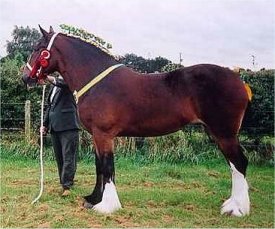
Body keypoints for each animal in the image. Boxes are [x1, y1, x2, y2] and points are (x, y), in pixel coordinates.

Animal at [23, 26, 252, 216]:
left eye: (38, 48)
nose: (25, 76)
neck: (97, 81)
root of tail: (239, 81)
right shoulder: (97, 136)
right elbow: (99, 167)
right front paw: (93, 199)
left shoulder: (104, 135)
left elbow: (107, 167)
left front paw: (107, 206)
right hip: (216, 133)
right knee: (234, 165)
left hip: (224, 134)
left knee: (239, 163)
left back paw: (237, 208)